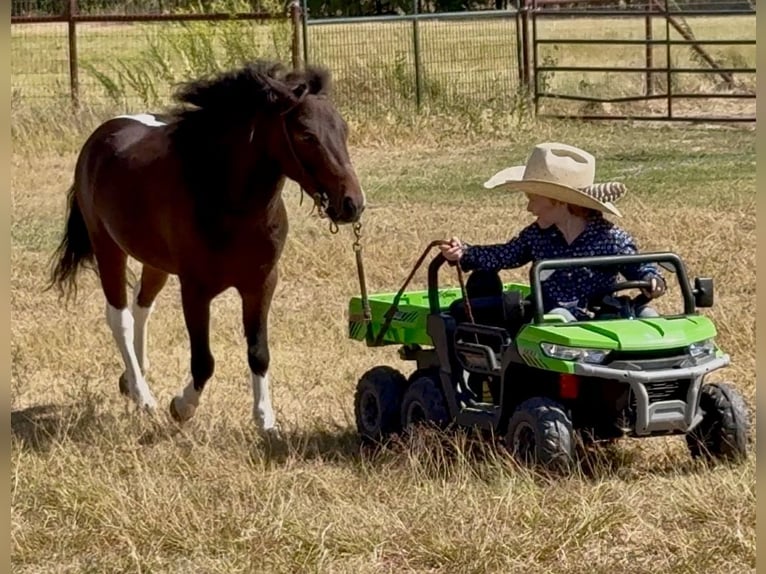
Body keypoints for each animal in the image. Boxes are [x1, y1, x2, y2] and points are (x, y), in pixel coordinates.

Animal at [47, 59, 366, 437]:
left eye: (343, 129)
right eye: (306, 134)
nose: (352, 204)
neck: (226, 199)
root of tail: (100, 138)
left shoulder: (261, 285)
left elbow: (259, 352)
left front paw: (266, 421)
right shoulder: (195, 290)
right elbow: (203, 361)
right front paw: (182, 406)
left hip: (154, 261)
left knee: (142, 305)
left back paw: (133, 374)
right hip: (107, 247)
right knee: (120, 317)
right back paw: (142, 395)